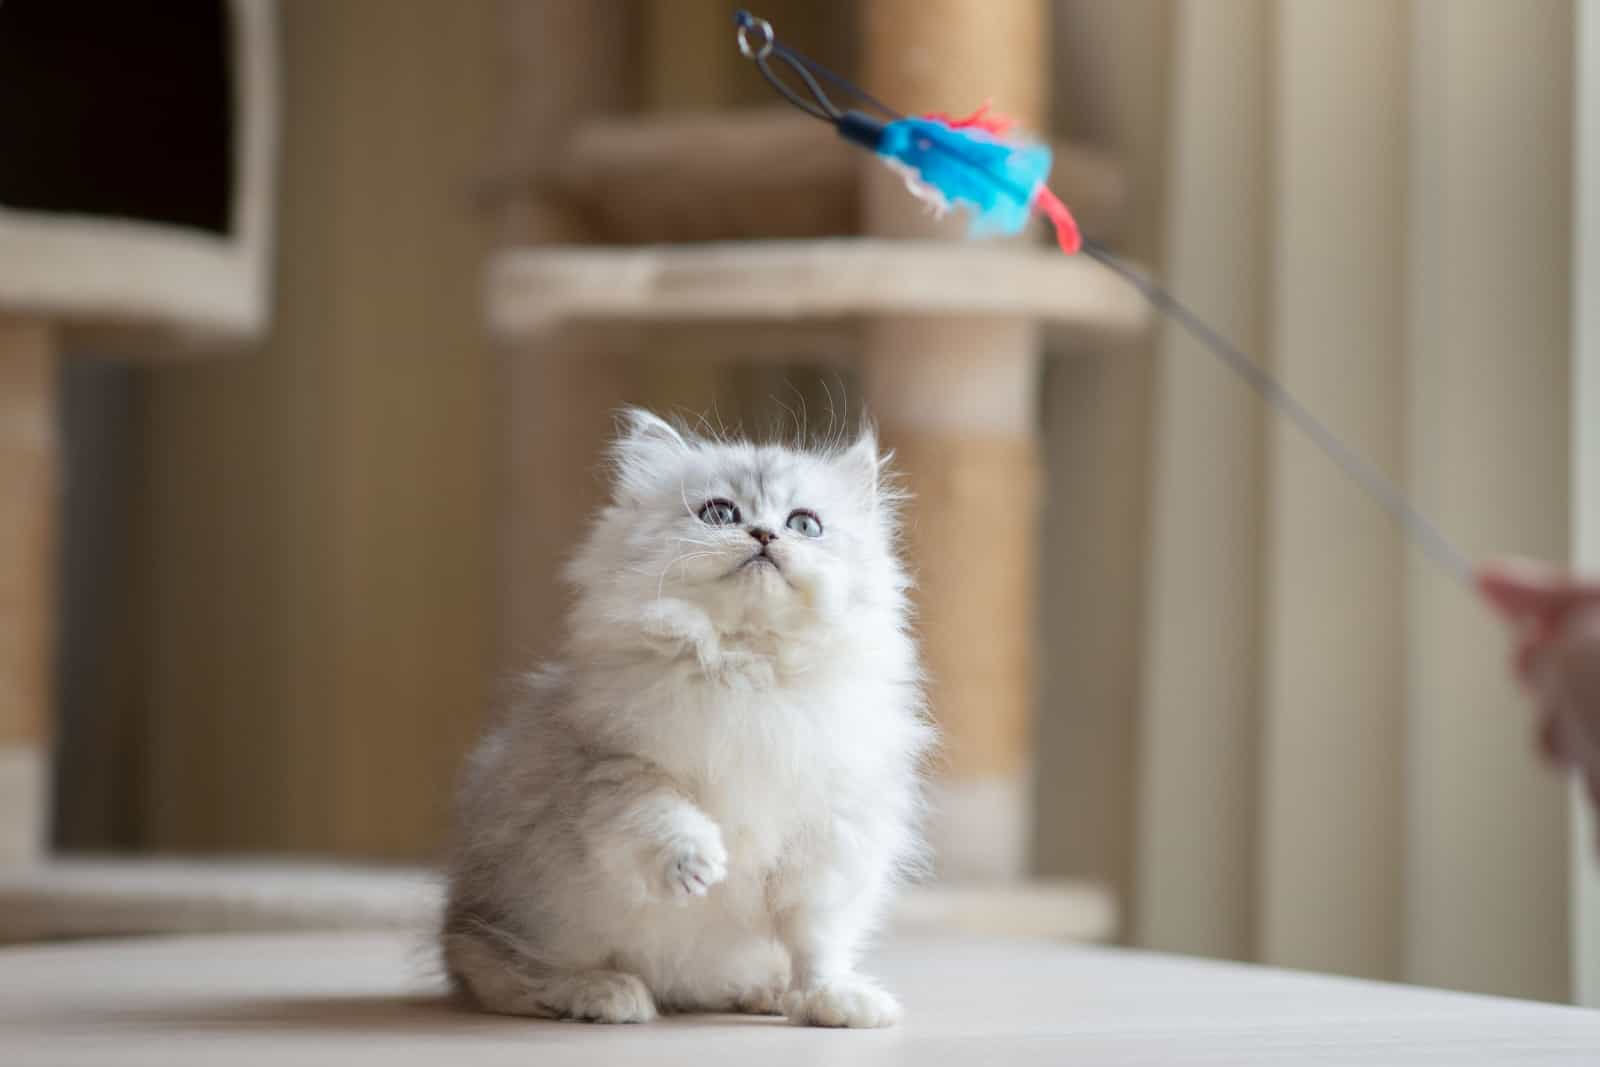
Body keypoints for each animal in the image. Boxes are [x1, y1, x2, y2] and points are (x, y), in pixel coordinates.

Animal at [444, 409, 934, 1023]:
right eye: (720, 513)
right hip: (532, 914)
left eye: (805, 524)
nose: (765, 535)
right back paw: (609, 993)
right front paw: (697, 868)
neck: (748, 665)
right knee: (510, 972)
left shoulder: (828, 845)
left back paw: (767, 993)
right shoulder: (617, 771)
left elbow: (815, 944)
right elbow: (665, 819)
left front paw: (834, 1000)